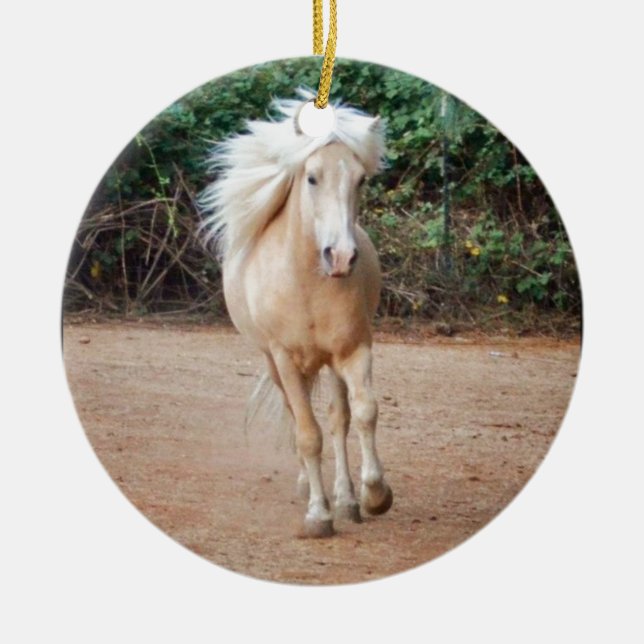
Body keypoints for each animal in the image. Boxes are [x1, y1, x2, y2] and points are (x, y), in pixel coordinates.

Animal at [200, 93, 393, 538]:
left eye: (361, 180)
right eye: (312, 178)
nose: (341, 257)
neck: (307, 284)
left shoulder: (354, 350)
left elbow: (363, 413)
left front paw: (374, 495)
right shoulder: (285, 359)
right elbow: (307, 435)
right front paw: (318, 516)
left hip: (331, 363)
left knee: (339, 420)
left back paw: (347, 499)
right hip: (276, 364)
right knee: (298, 417)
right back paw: (310, 486)